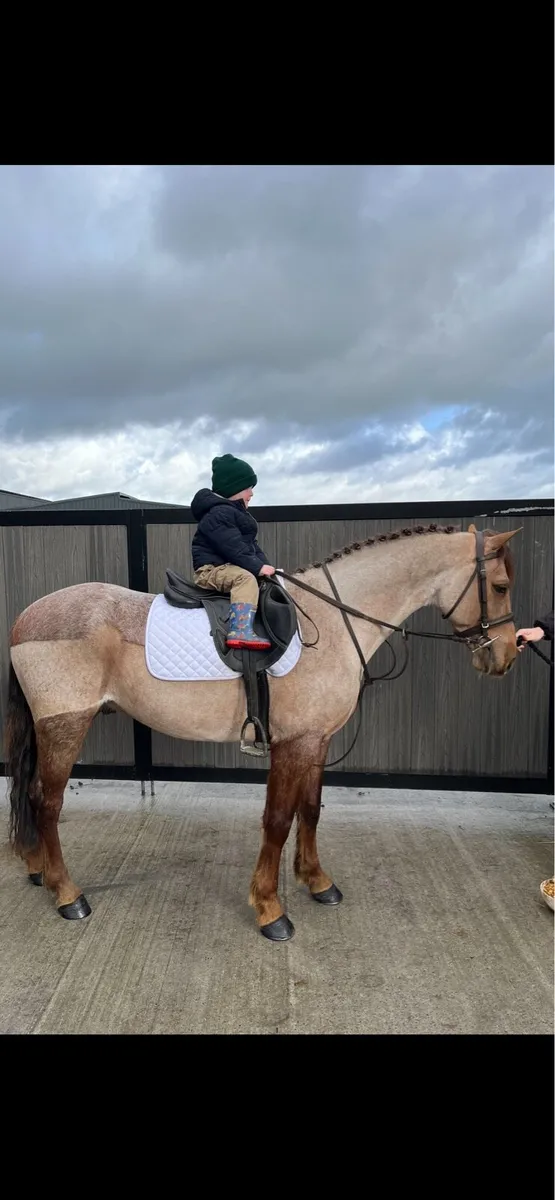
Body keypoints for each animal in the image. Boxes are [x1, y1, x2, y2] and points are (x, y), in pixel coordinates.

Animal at [4, 521, 520, 942]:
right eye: (499, 585)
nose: (506, 657)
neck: (332, 621)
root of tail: (25, 619)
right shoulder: (292, 746)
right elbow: (277, 821)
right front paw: (271, 909)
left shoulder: (316, 741)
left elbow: (310, 810)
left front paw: (316, 881)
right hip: (65, 726)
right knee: (45, 801)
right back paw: (68, 894)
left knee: (30, 796)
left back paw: (39, 870)